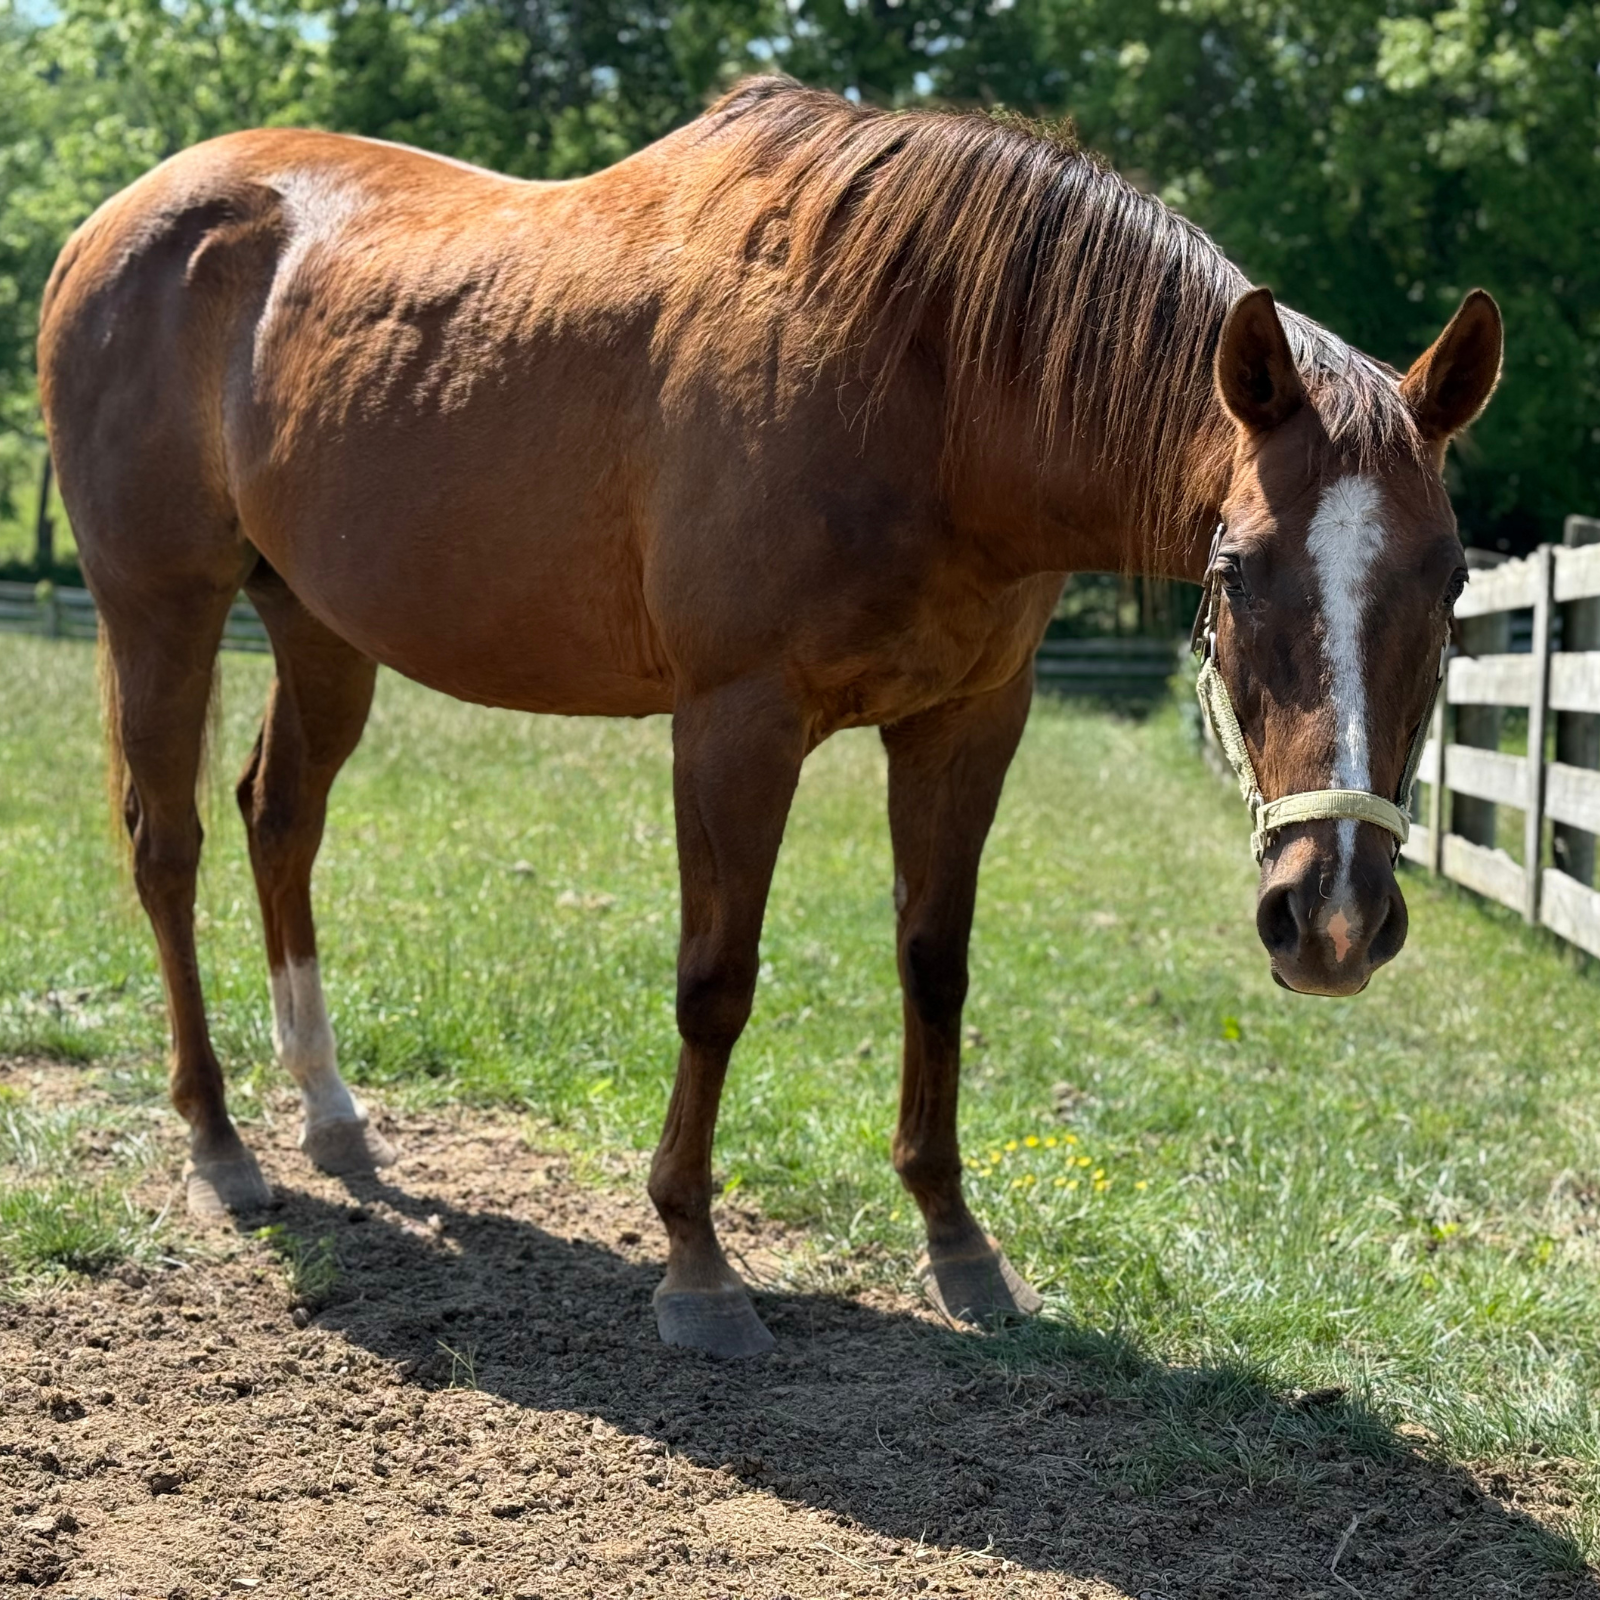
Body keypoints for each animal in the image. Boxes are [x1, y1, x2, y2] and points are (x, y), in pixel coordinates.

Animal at [37, 77, 1501, 1358]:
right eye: (1236, 571)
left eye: (1452, 581)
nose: (1333, 921)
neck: (929, 382)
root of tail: (110, 227)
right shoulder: (736, 722)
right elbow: (716, 982)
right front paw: (695, 1262)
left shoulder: (970, 722)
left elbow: (936, 966)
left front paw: (959, 1242)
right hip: (160, 607)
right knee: (167, 847)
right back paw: (220, 1145)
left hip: (319, 626)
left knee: (278, 822)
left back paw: (332, 1116)